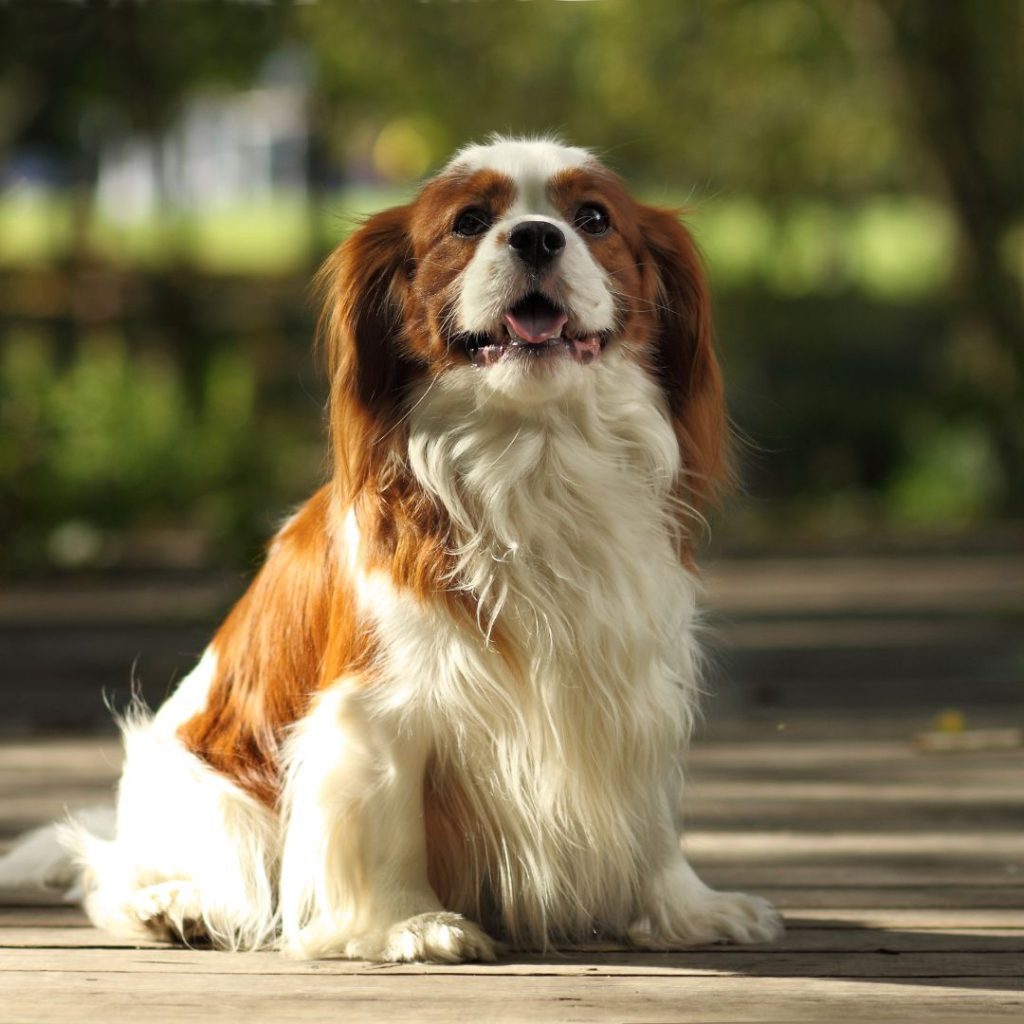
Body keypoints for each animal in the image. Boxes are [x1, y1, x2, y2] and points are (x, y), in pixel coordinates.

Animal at [2, 136, 782, 958]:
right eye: (468, 222)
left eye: (595, 219)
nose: (537, 236)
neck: (536, 454)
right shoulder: (374, 712)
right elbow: (388, 819)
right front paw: (413, 922)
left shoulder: (634, 684)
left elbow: (654, 815)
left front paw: (687, 909)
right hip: (216, 808)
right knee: (111, 875)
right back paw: (172, 905)